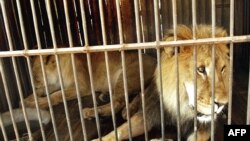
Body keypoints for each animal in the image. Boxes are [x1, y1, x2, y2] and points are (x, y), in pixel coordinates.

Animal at [23, 50, 156, 118]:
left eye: (35, 75)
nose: (33, 84)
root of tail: (155, 61)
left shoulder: (81, 87)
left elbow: (56, 95)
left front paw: (37, 103)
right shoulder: (56, 84)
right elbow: (45, 89)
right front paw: (28, 99)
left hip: (126, 76)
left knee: (118, 102)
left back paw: (92, 112)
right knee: (137, 95)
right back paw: (105, 96)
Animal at [94, 24, 229, 140]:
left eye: (223, 68)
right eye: (201, 69)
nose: (223, 103)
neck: (180, 106)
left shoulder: (203, 128)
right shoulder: (150, 113)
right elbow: (119, 132)